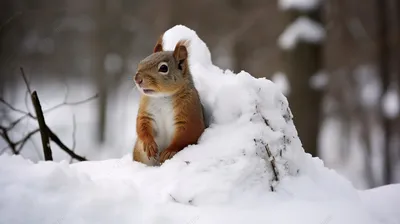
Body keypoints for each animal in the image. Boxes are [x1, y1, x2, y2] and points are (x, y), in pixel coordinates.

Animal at [132, 36, 205, 166]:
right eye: (141, 62)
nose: (137, 78)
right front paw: (149, 144)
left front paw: (169, 151)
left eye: (163, 68)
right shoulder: (146, 112)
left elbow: (186, 136)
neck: (162, 97)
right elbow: (141, 126)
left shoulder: (190, 114)